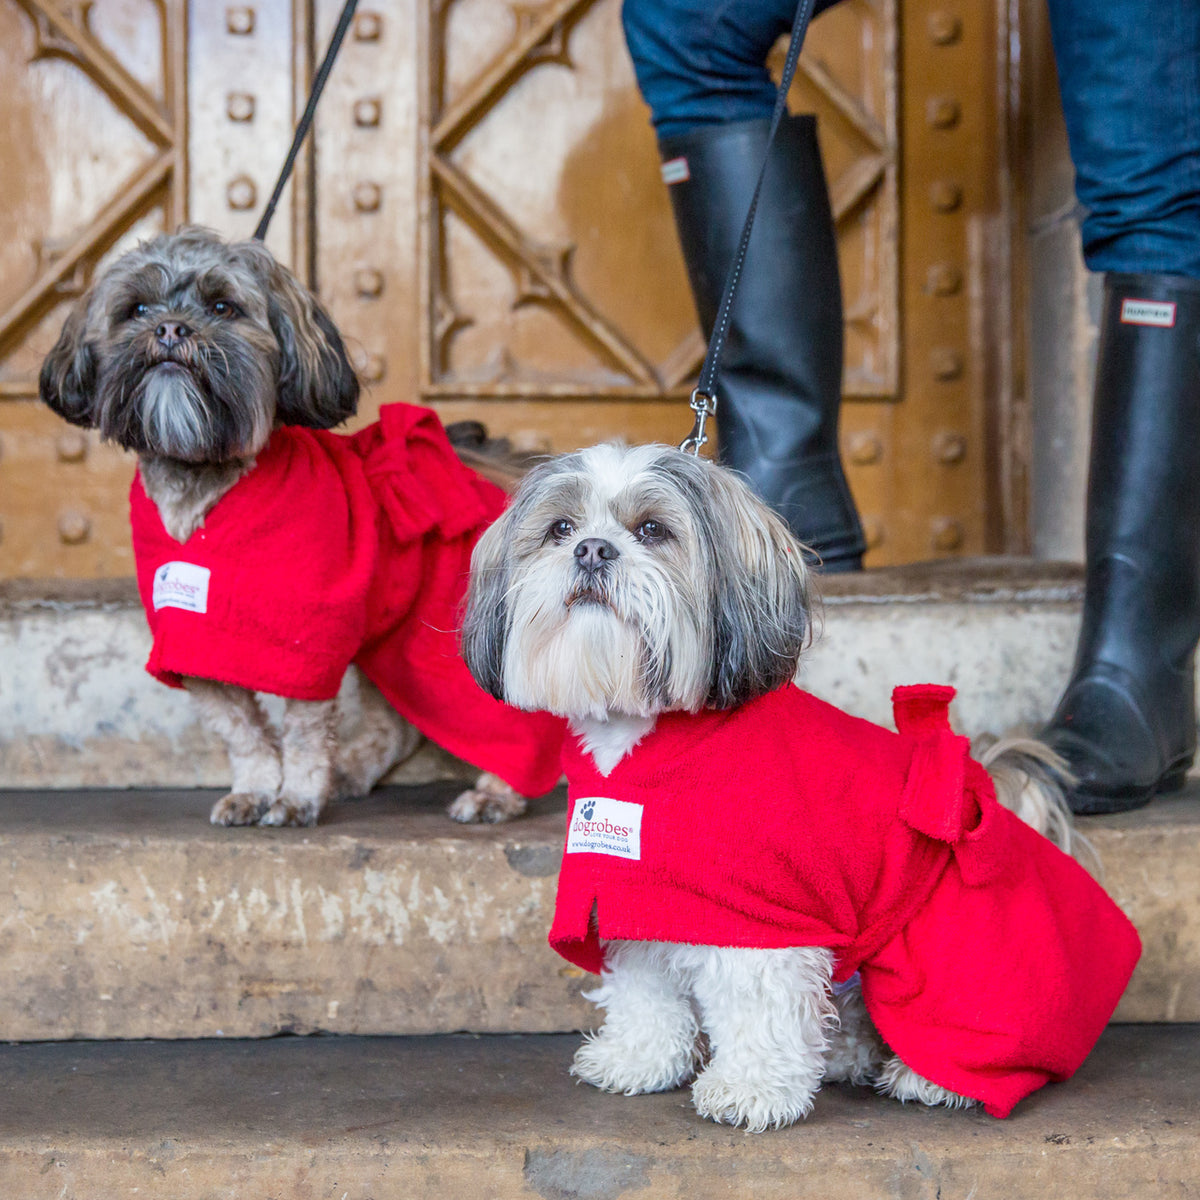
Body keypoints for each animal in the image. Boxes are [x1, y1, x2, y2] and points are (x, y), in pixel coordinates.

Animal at [460, 444, 1080, 1132]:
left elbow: (758, 1003)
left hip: (944, 949)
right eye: (560, 529)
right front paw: (640, 1059)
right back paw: (846, 1054)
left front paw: (751, 1089)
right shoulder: (636, 894)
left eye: (653, 530)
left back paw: (926, 1077)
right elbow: (647, 988)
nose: (592, 550)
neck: (649, 745)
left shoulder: (760, 917)